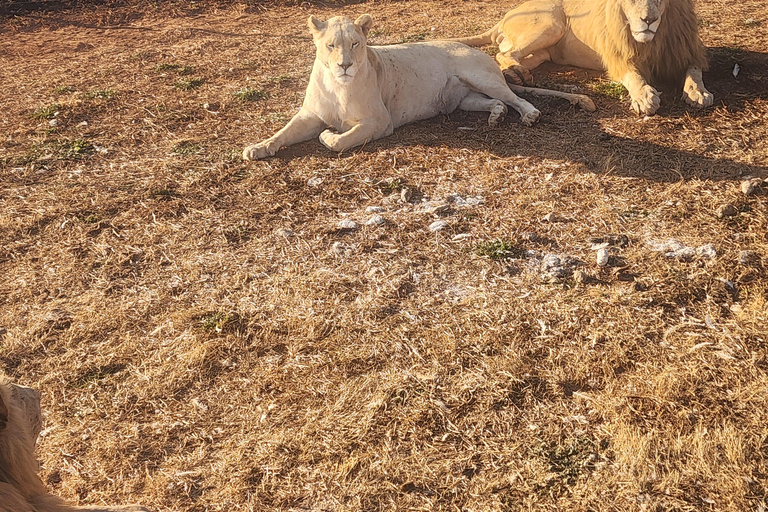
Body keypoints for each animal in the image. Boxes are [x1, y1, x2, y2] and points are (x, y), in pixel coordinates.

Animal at [243, 14, 596, 160]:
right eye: (331, 45)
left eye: (355, 44)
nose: (345, 65)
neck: (337, 84)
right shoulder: (310, 115)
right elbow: (282, 133)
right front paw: (257, 148)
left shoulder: (379, 122)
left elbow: (339, 141)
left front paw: (329, 136)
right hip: (466, 99)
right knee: (497, 103)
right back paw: (495, 119)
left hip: (482, 77)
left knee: (514, 98)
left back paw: (529, 115)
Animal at [452, 0, 714, 116]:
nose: (648, 20)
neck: (653, 40)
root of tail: (506, 15)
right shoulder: (618, 57)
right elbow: (634, 77)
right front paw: (644, 97)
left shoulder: (686, 50)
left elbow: (694, 72)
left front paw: (698, 92)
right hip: (552, 22)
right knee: (504, 53)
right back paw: (518, 74)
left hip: (542, 52)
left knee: (506, 56)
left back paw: (517, 74)